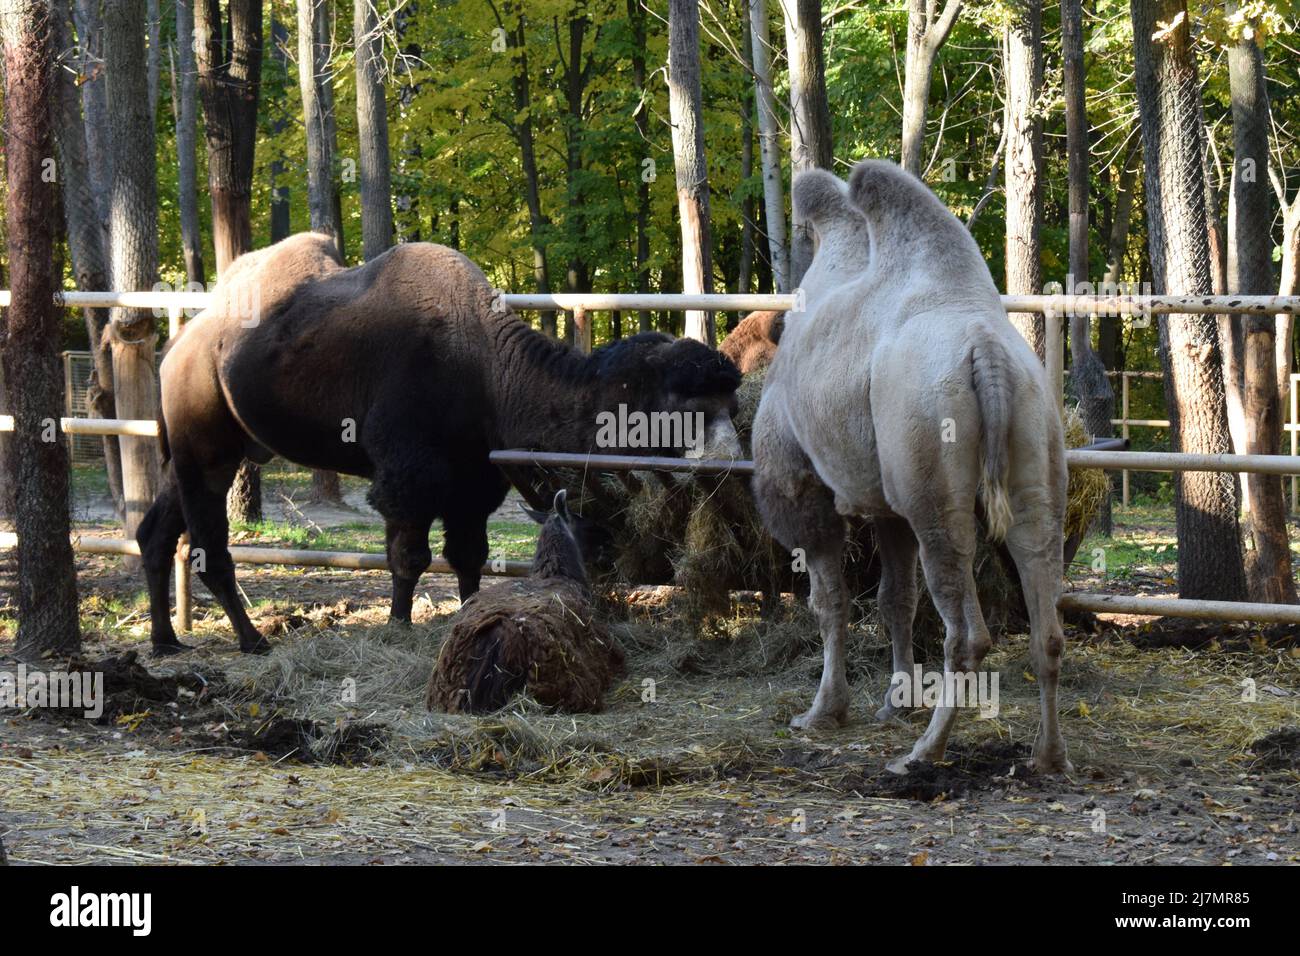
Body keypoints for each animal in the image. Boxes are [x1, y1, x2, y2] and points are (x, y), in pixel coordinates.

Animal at [138, 238, 743, 658]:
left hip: (199, 450)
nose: (728, 460)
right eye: (685, 404)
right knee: (208, 547)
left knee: (155, 532)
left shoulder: (474, 481)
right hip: (206, 448)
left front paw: (469, 610)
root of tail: (177, 347)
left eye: (730, 402)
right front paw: (400, 624)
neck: (485, 370)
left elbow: (467, 555)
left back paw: (166, 641)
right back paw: (253, 641)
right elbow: (409, 556)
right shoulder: (410, 474)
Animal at [748, 160, 1071, 775]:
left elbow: (829, 602)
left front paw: (823, 711)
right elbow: (895, 599)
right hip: (1034, 444)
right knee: (1045, 612)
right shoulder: (887, 507)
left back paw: (924, 753)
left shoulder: (805, 487)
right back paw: (1046, 755)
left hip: (932, 478)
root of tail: (987, 350)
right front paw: (894, 703)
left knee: (966, 632)